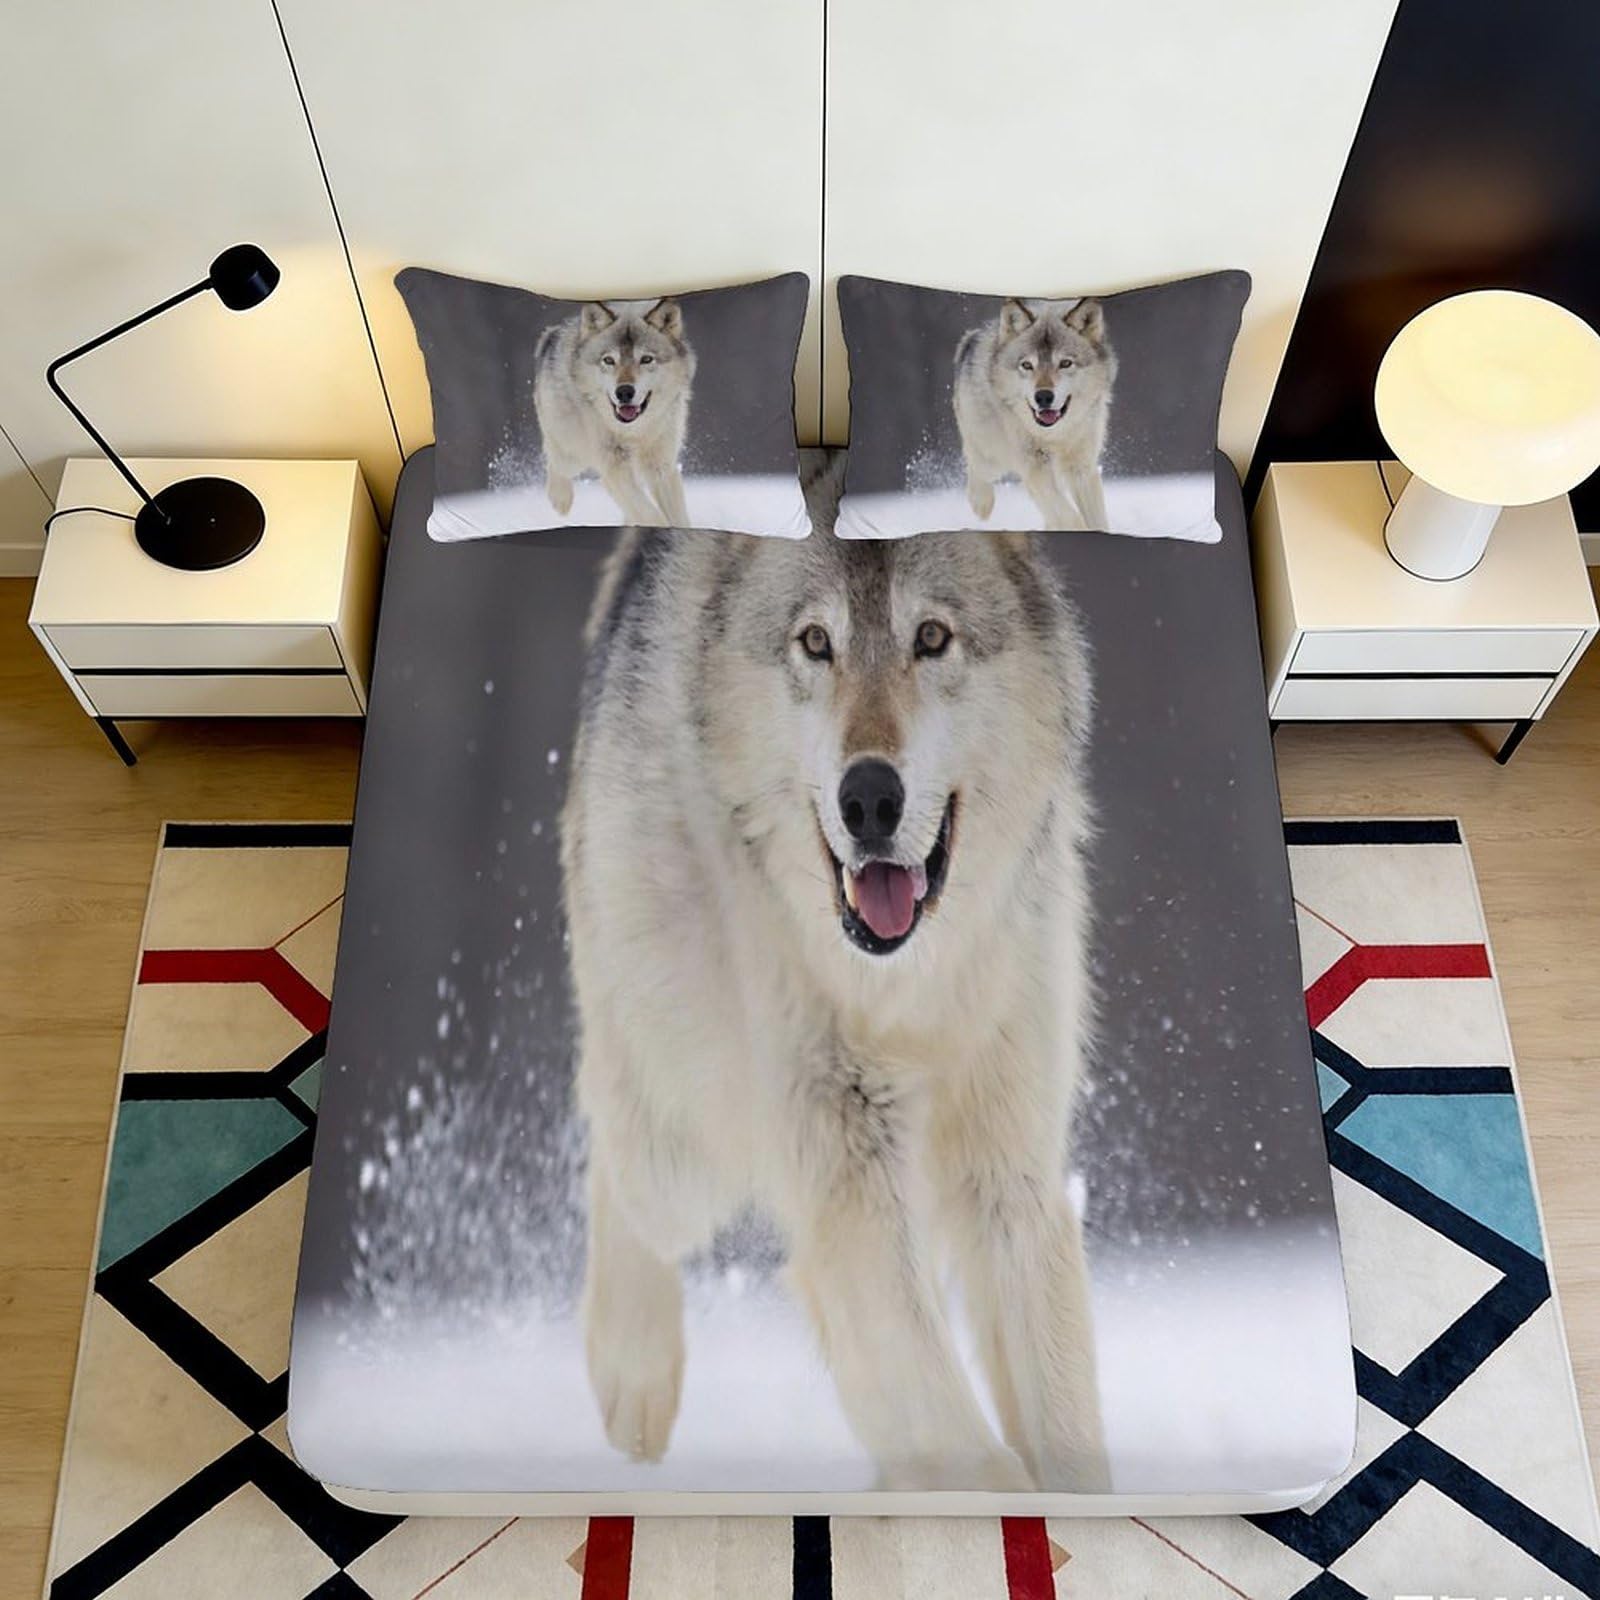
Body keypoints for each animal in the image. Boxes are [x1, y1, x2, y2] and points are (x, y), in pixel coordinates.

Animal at [533, 298, 696, 527]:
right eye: (609, 360)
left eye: (646, 359)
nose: (624, 392)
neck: (634, 432)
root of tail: (553, 335)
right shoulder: (614, 468)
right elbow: (653, 516)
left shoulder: (661, 467)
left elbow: (678, 518)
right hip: (573, 453)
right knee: (554, 461)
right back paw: (560, 500)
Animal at [559, 455, 1108, 1492]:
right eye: (816, 643)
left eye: (931, 637)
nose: (869, 799)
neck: (903, 992)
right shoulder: (845, 1165)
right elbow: (959, 1436)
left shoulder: (1010, 1175)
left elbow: (1059, 1420)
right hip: (688, 1137)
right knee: (618, 1156)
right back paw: (631, 1380)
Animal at [954, 298, 1118, 531]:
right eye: (1027, 365)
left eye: (1065, 363)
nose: (1043, 397)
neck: (1055, 435)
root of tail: (971, 340)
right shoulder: (1035, 469)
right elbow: (1071, 519)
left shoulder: (1082, 468)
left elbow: (1096, 521)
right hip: (992, 457)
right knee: (975, 464)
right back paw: (981, 503)